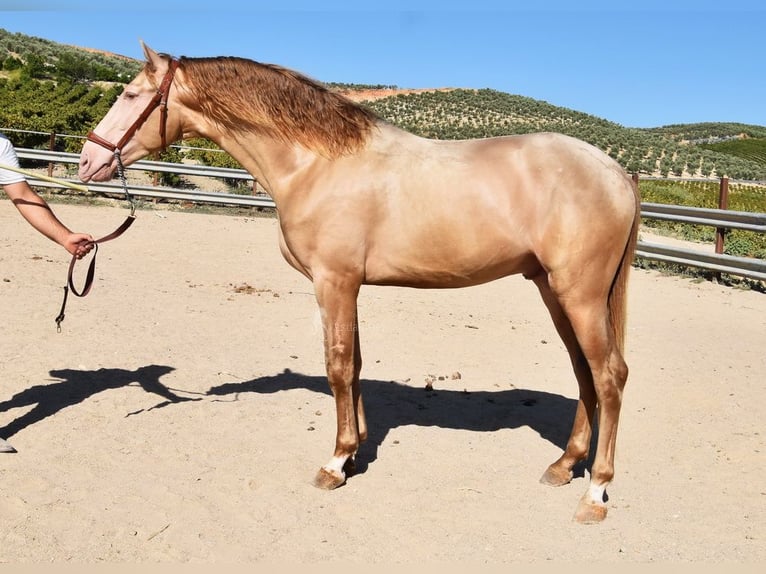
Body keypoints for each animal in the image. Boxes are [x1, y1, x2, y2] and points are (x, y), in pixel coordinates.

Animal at [79, 42, 640, 524]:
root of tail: (616, 171)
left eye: (130, 95)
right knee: (585, 375)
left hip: (580, 295)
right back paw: (564, 466)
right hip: (554, 291)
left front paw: (335, 463)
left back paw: (595, 492)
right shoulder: (349, 286)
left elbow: (339, 366)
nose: (88, 161)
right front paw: (356, 452)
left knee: (609, 376)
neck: (316, 163)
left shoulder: (334, 282)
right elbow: (357, 364)